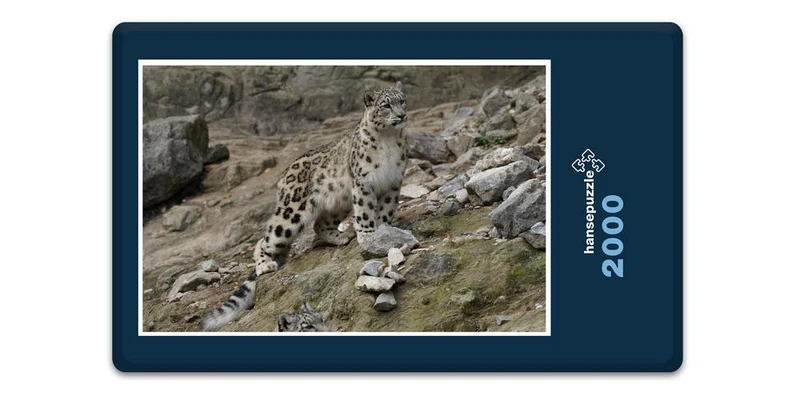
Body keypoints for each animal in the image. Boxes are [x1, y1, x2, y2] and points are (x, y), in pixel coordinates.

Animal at [201, 82, 408, 331]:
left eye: (402, 100)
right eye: (386, 105)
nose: (401, 115)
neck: (388, 140)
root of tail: (282, 176)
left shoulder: (393, 182)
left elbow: (385, 211)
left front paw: (385, 230)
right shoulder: (363, 183)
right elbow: (366, 212)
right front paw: (369, 235)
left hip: (337, 203)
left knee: (320, 225)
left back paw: (339, 236)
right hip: (291, 213)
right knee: (265, 239)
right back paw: (265, 264)